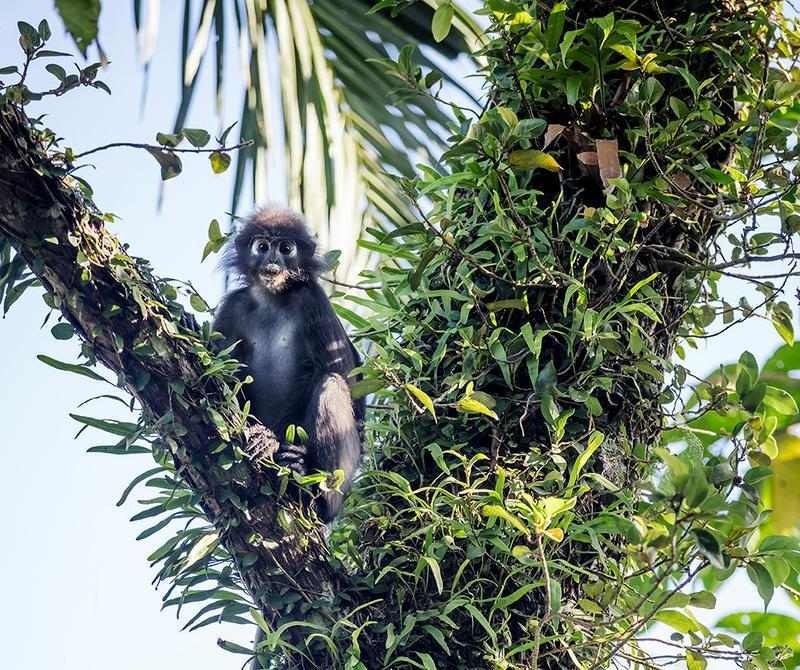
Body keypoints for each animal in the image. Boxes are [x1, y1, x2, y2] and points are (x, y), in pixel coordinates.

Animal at [213, 206, 365, 522]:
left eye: (286, 248)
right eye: (262, 247)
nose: (273, 260)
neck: (273, 298)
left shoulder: (313, 299)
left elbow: (350, 381)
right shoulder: (233, 305)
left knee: (332, 382)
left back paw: (314, 486)